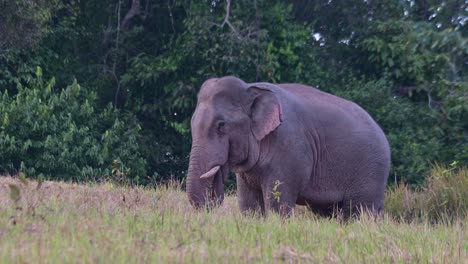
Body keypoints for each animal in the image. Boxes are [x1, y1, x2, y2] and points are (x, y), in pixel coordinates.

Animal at [186, 76, 392, 217]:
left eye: (221, 126)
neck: (250, 88)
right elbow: (249, 204)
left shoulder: (288, 148)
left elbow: (279, 203)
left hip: (371, 171)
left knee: (359, 211)